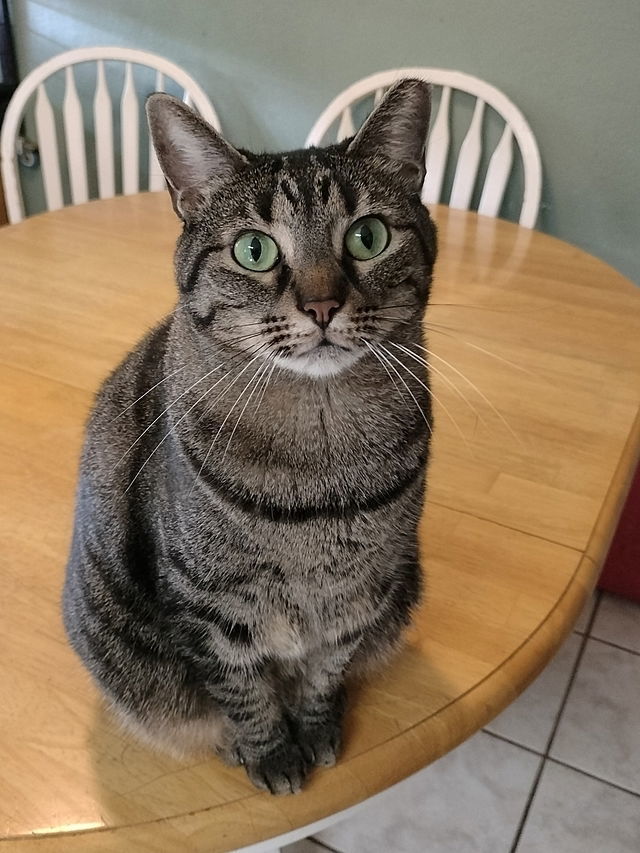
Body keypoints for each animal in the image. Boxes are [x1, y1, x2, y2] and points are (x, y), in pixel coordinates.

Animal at [62, 80, 438, 792]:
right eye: (254, 250)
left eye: (368, 236)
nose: (322, 306)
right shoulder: (209, 607)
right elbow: (242, 692)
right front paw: (269, 753)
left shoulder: (357, 595)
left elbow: (324, 672)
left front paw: (315, 728)